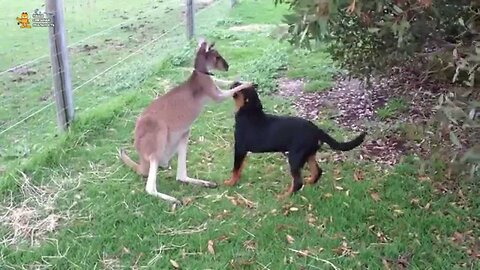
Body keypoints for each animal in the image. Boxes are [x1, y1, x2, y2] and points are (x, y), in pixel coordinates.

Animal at [226, 81, 368, 198]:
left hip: (295, 156)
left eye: (240, 87)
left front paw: (230, 182)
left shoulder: (239, 148)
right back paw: (309, 182)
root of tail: (316, 130)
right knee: (317, 171)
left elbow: (235, 168)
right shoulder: (242, 151)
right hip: (308, 153)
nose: (234, 81)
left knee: (298, 182)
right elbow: (239, 167)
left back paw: (284, 196)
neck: (249, 112)